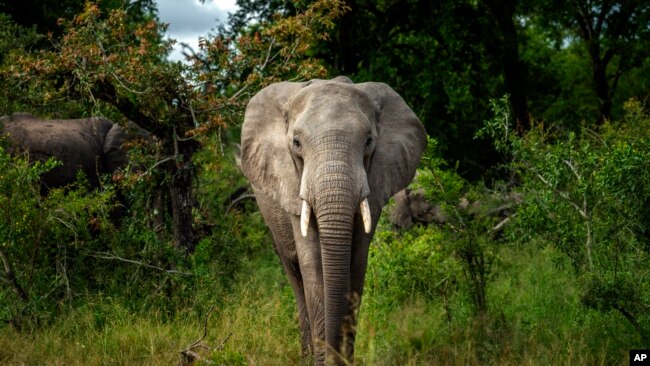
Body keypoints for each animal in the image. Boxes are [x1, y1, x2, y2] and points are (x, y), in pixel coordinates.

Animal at [239, 76, 426, 364]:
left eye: (369, 141)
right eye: (296, 143)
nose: (332, 357)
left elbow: (356, 262)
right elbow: (313, 265)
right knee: (295, 277)